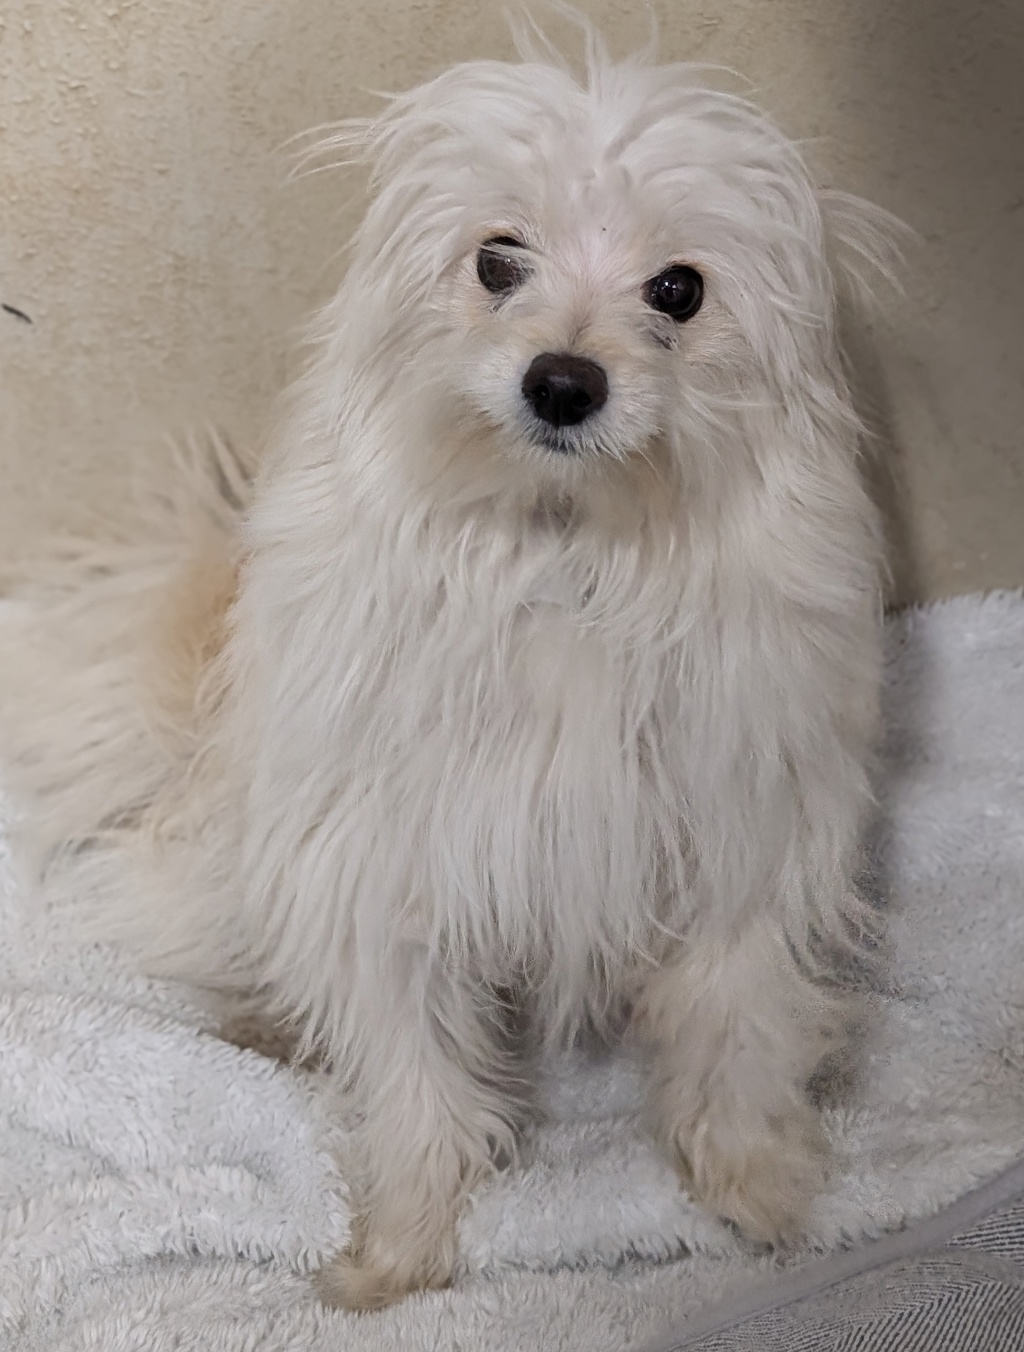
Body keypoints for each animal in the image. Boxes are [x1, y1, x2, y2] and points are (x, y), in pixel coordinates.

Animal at [0, 19, 899, 1311]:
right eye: (497, 260)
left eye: (677, 289)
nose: (563, 381)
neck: (564, 553)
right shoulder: (383, 868)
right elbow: (412, 1075)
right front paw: (400, 1246)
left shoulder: (742, 845)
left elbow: (738, 1032)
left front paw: (761, 1190)